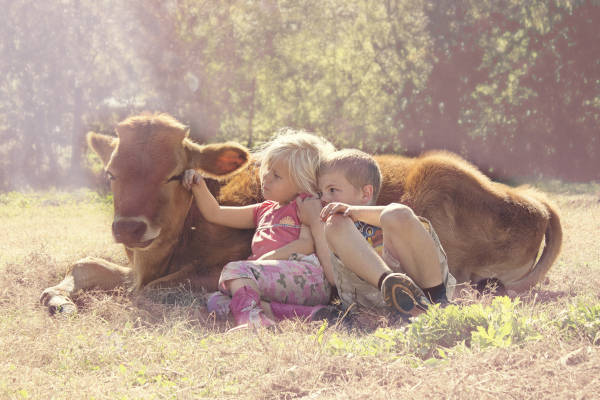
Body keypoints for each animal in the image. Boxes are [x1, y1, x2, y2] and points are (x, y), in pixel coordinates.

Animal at [38, 114, 564, 314]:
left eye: (174, 174)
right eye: (111, 173)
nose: (129, 226)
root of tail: (530, 200)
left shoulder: (196, 270)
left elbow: (148, 291)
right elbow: (85, 267)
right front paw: (58, 297)